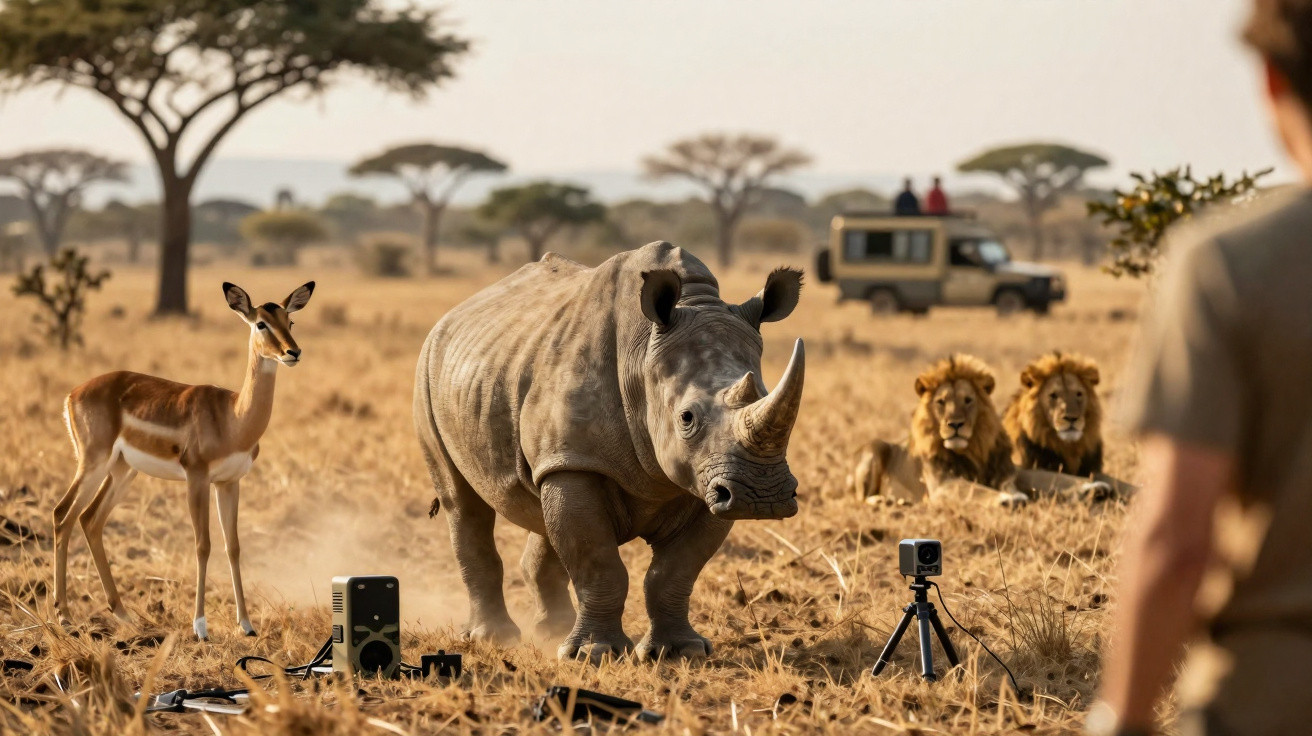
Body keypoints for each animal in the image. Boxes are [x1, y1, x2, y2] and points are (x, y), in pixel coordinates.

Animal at [52, 281, 315, 640]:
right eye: (261, 323)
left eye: (291, 321)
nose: (293, 352)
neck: (233, 417)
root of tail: (72, 393)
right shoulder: (197, 478)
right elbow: (203, 544)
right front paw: (200, 627)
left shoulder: (229, 482)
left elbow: (233, 546)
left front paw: (246, 625)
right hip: (93, 463)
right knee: (62, 514)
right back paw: (64, 616)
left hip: (122, 471)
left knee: (90, 519)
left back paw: (123, 614)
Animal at [413, 241, 805, 661]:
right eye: (686, 418)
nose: (761, 497)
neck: (643, 360)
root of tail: (453, 315)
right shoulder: (580, 460)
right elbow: (598, 563)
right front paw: (594, 655)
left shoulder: (706, 476)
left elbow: (675, 572)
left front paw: (682, 652)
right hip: (428, 370)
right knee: (463, 504)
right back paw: (495, 638)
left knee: (542, 505)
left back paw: (553, 631)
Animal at [848, 354, 1122, 506]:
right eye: (941, 402)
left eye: (968, 400)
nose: (955, 424)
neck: (973, 448)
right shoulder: (942, 483)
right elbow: (974, 489)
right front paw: (1008, 499)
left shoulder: (1008, 471)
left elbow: (1048, 478)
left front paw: (1094, 487)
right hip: (874, 448)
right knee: (859, 497)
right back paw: (882, 500)